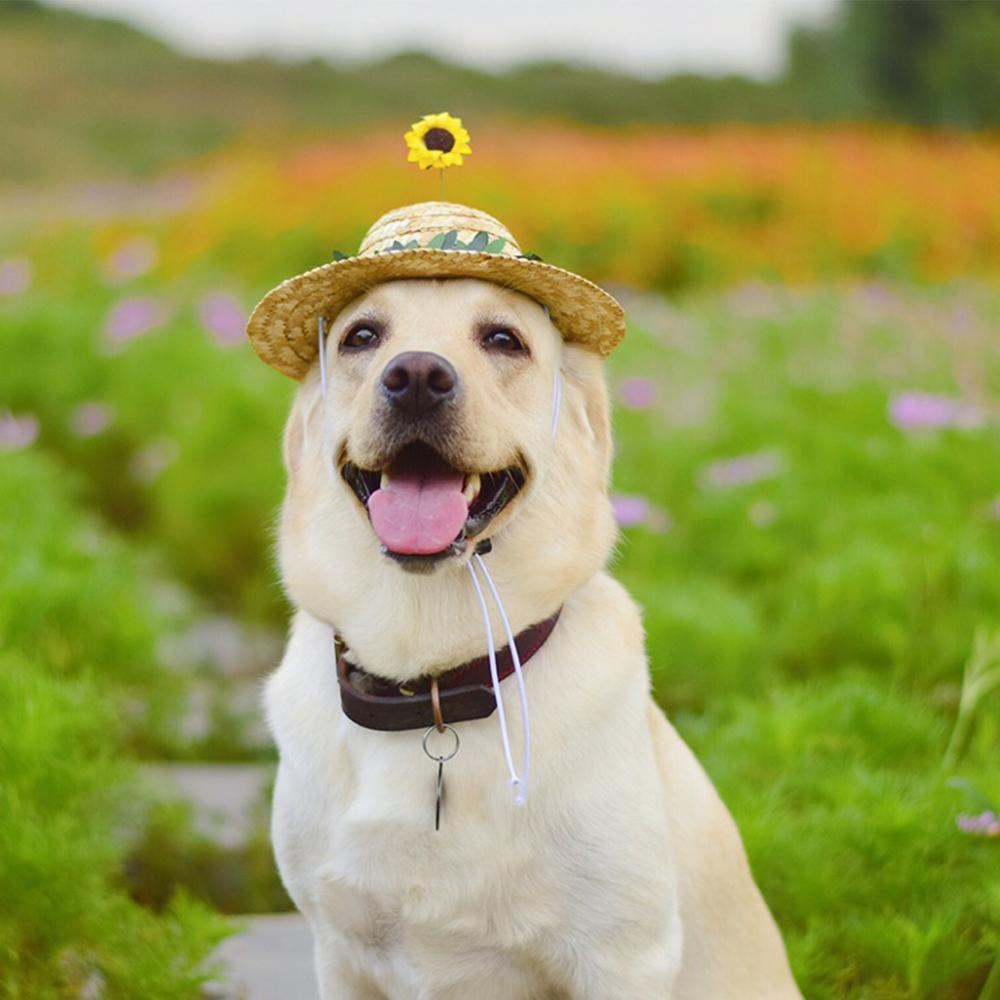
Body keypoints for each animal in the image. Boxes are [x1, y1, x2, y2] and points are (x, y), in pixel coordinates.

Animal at [260, 262, 804, 996]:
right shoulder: (340, 951)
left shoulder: (623, 957)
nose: (417, 377)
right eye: (362, 336)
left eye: (502, 339)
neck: (431, 679)